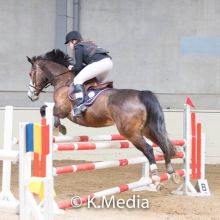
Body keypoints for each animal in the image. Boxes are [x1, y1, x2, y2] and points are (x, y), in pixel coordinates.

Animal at [26, 49, 180, 186]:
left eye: (31, 73)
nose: (31, 95)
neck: (63, 81)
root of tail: (140, 95)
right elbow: (48, 111)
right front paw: (59, 128)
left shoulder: (62, 110)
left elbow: (45, 110)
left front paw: (57, 129)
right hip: (148, 130)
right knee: (164, 145)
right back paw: (172, 173)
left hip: (130, 132)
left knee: (148, 149)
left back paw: (156, 179)